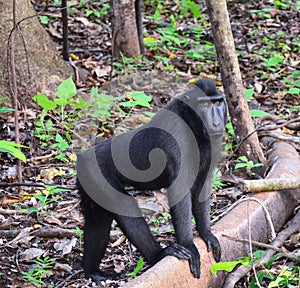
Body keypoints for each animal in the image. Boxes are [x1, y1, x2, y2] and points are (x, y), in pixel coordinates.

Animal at [77, 79, 227, 284]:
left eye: (218, 102)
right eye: (204, 105)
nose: (217, 122)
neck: (192, 122)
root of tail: (82, 159)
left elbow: (202, 185)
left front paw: (207, 234)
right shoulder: (177, 134)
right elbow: (180, 192)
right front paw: (188, 244)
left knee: (99, 218)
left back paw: (92, 271)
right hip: (94, 174)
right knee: (123, 205)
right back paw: (160, 255)